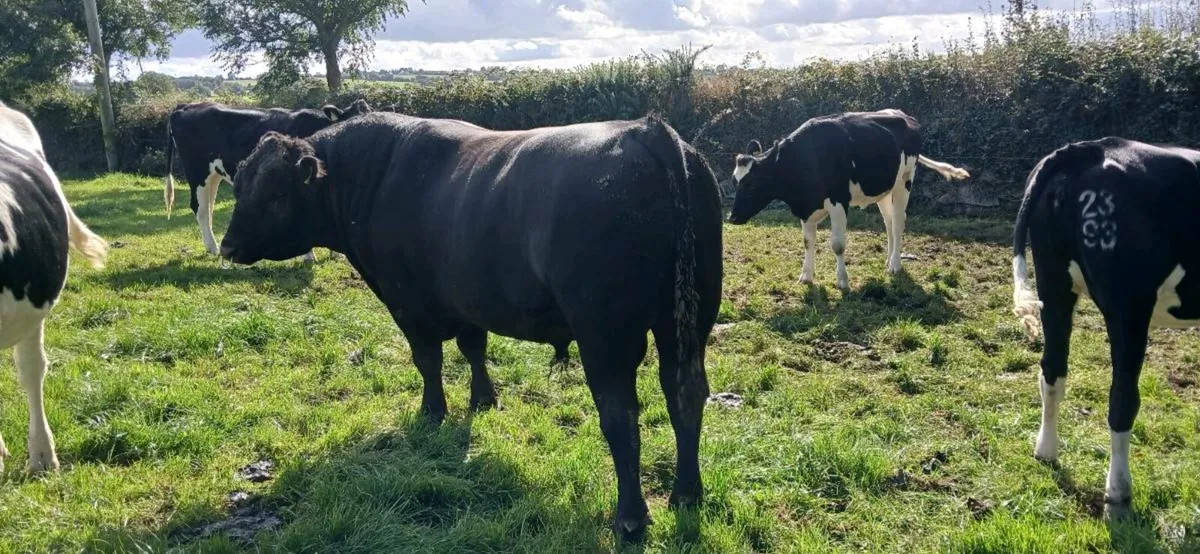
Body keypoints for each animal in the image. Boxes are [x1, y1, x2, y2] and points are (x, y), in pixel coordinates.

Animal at [164, 99, 373, 258]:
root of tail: (186, 106)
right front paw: (309, 256)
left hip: (214, 173)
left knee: (208, 206)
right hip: (197, 171)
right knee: (199, 208)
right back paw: (213, 249)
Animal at [217, 112, 723, 541]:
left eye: (278, 194)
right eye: (240, 184)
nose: (227, 245)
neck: (375, 177)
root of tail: (649, 129)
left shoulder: (409, 305)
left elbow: (428, 360)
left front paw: (431, 412)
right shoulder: (468, 300)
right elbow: (473, 348)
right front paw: (483, 400)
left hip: (606, 334)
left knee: (621, 415)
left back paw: (631, 518)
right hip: (689, 321)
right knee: (685, 393)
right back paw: (686, 495)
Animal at [725, 109, 970, 289]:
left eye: (752, 183)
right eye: (735, 181)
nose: (732, 217)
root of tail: (902, 114)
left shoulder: (839, 202)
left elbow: (838, 245)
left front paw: (842, 281)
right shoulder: (807, 206)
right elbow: (808, 242)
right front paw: (806, 276)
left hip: (904, 180)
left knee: (899, 222)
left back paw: (895, 265)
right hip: (883, 189)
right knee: (889, 222)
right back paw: (888, 259)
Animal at [1012, 137, 1200, 519]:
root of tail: (1092, 148)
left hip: (1054, 284)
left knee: (1052, 370)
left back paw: (1046, 450)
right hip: (1129, 307)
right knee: (1122, 398)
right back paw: (1118, 492)